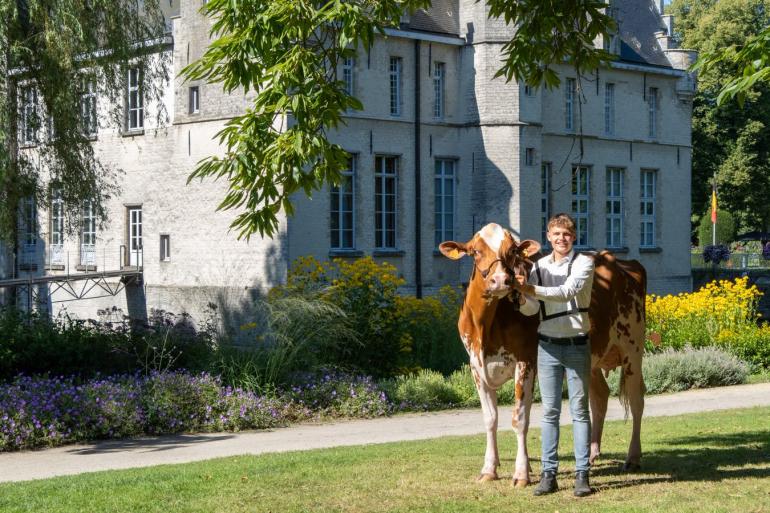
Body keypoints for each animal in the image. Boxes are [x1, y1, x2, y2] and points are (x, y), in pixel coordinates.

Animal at [438, 222, 648, 482]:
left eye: (512, 251)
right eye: (475, 251)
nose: (501, 280)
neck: (485, 327)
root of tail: (622, 262)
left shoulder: (525, 362)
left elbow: (520, 419)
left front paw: (521, 473)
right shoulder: (476, 366)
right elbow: (490, 419)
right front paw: (489, 469)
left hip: (633, 349)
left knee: (637, 401)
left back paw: (633, 457)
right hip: (591, 360)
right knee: (599, 397)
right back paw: (591, 454)